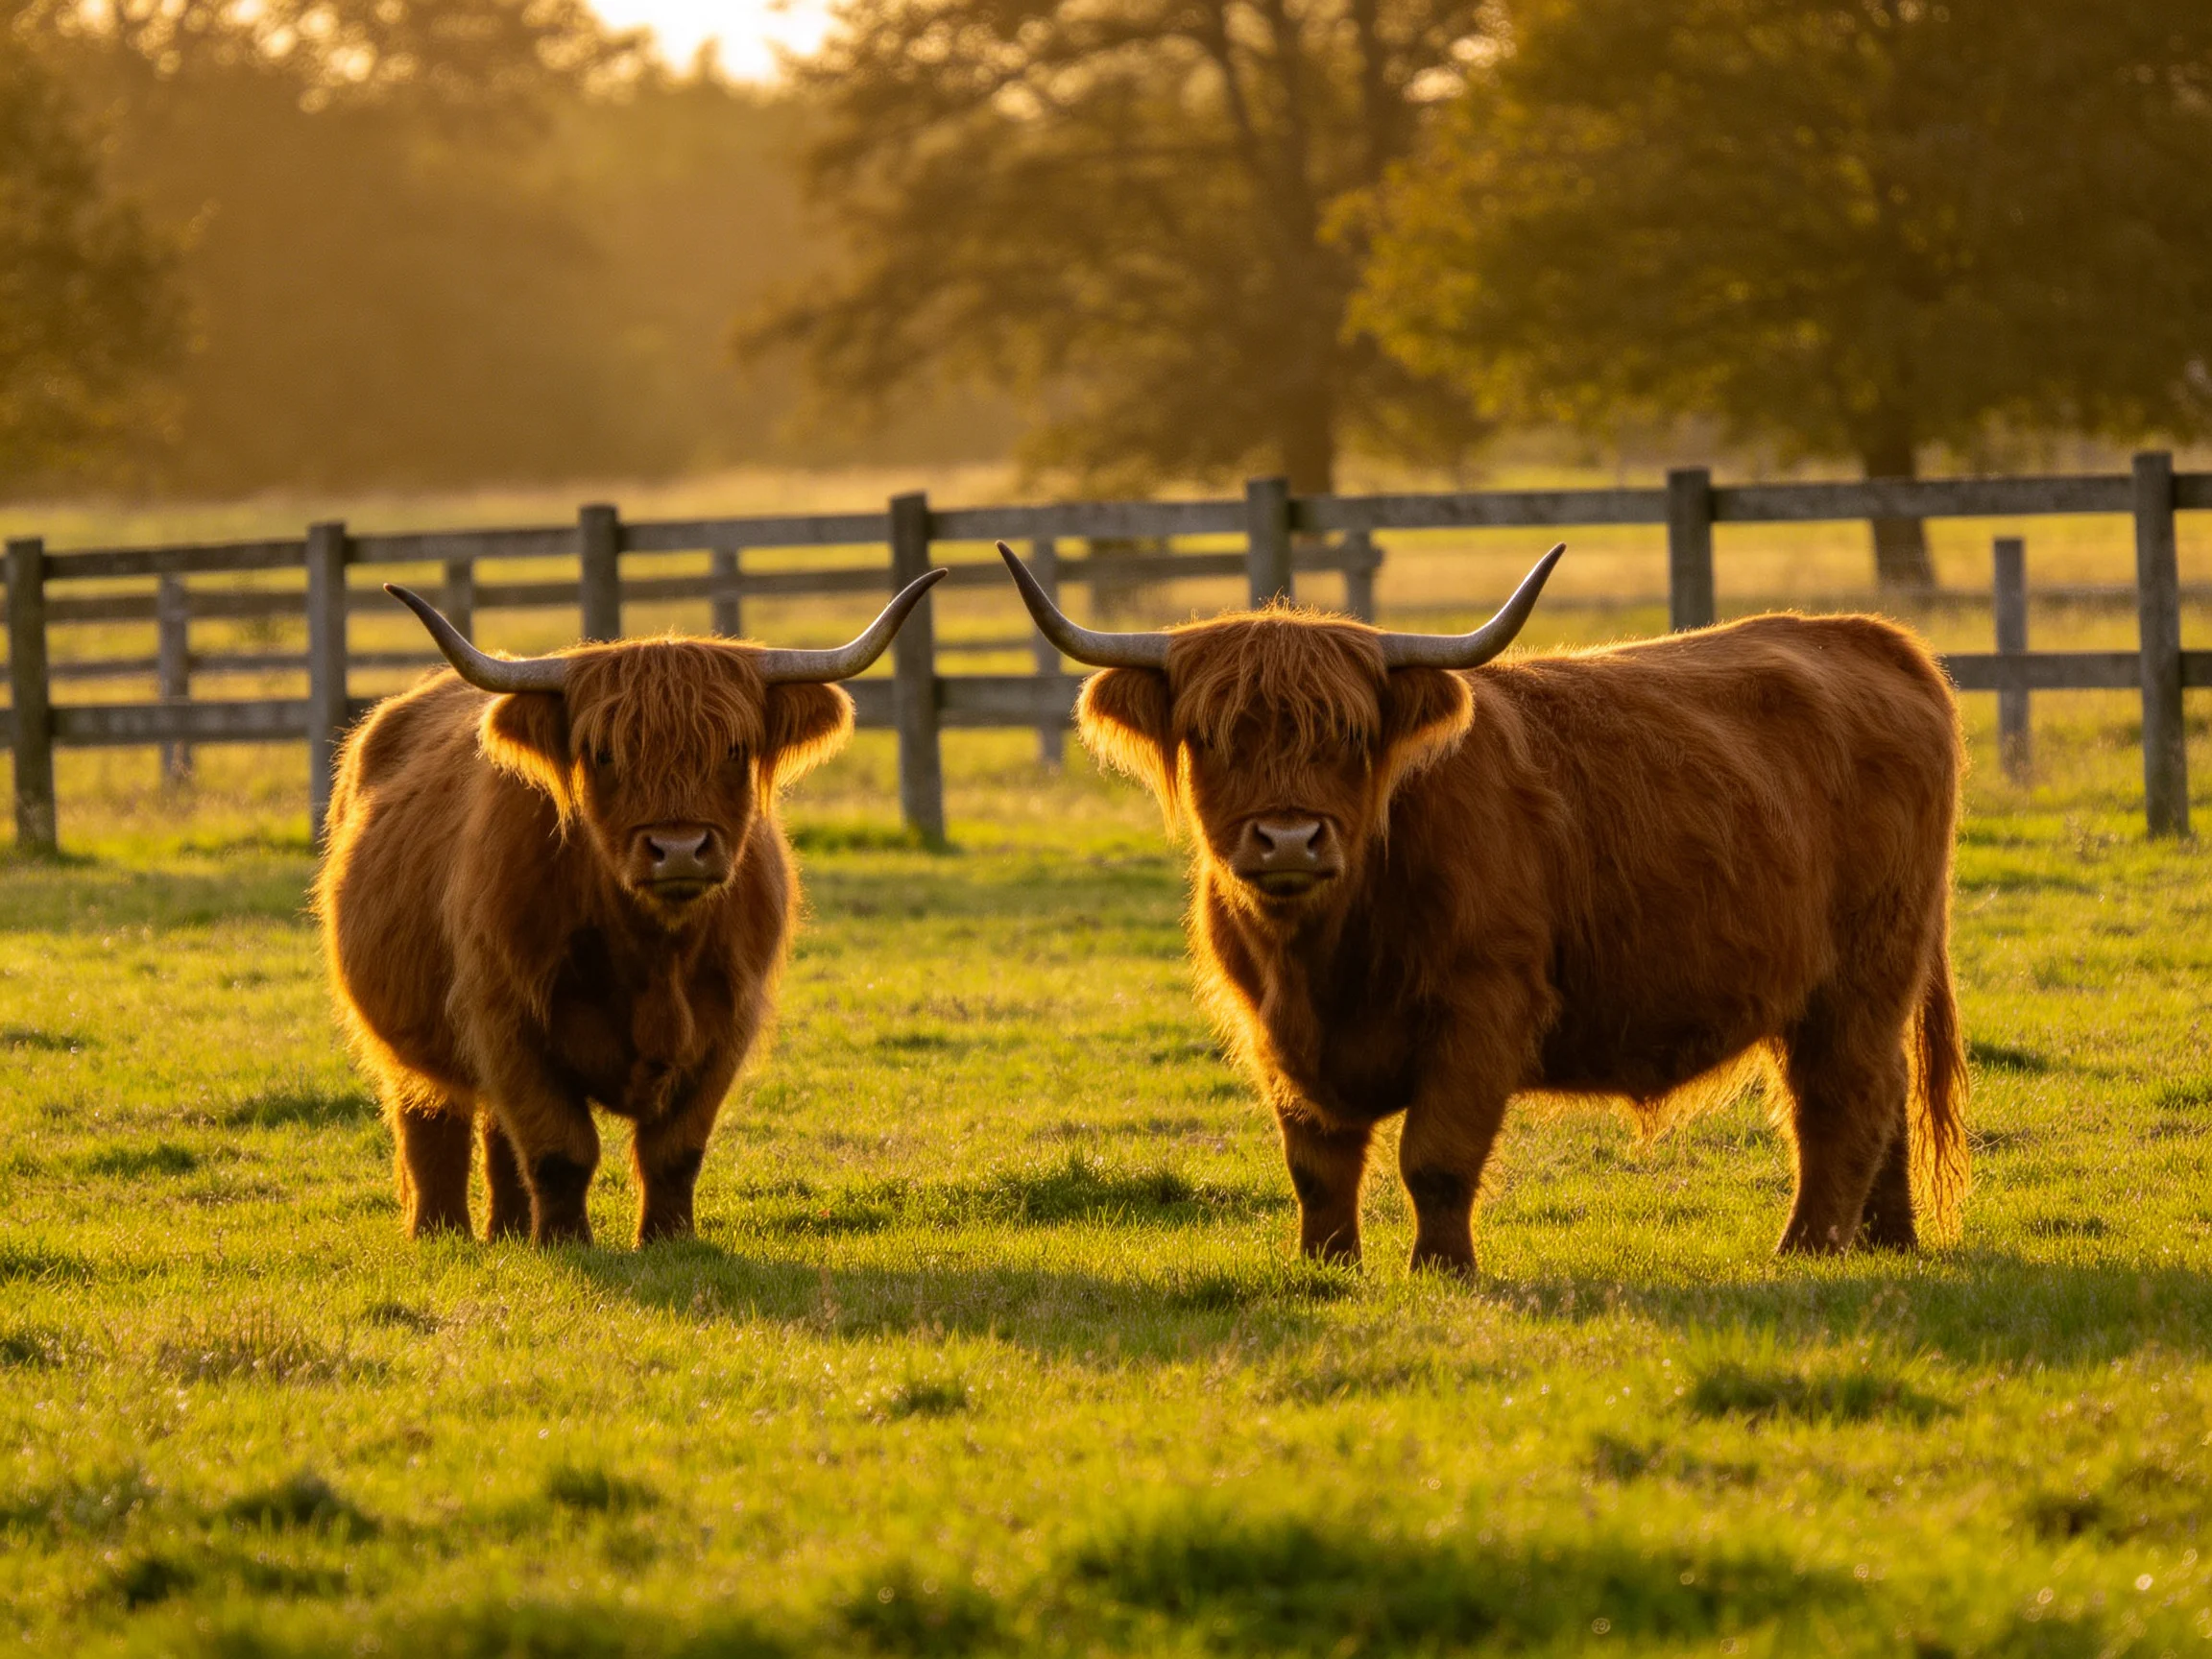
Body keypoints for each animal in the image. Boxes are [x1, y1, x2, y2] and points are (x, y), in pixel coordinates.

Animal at [314, 572, 944, 1247]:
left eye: (735, 748)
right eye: (604, 753)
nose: (679, 849)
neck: (656, 954)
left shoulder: (727, 1024)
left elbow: (674, 1152)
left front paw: (667, 1239)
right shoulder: (504, 1016)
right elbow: (560, 1149)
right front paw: (566, 1243)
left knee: (497, 1135)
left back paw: (507, 1231)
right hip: (401, 1037)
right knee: (430, 1120)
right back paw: (441, 1232)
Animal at [998, 541, 1967, 1270]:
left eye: (1352, 734)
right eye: (1210, 734)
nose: (1288, 841)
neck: (1323, 955)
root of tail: (1871, 638)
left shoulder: (1484, 1009)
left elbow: (1435, 1158)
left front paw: (1441, 1271)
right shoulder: (1275, 1034)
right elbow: (1317, 1165)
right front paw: (1325, 1269)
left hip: (1862, 972)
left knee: (1843, 1096)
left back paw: (1807, 1248)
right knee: (1880, 1099)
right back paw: (1886, 1243)